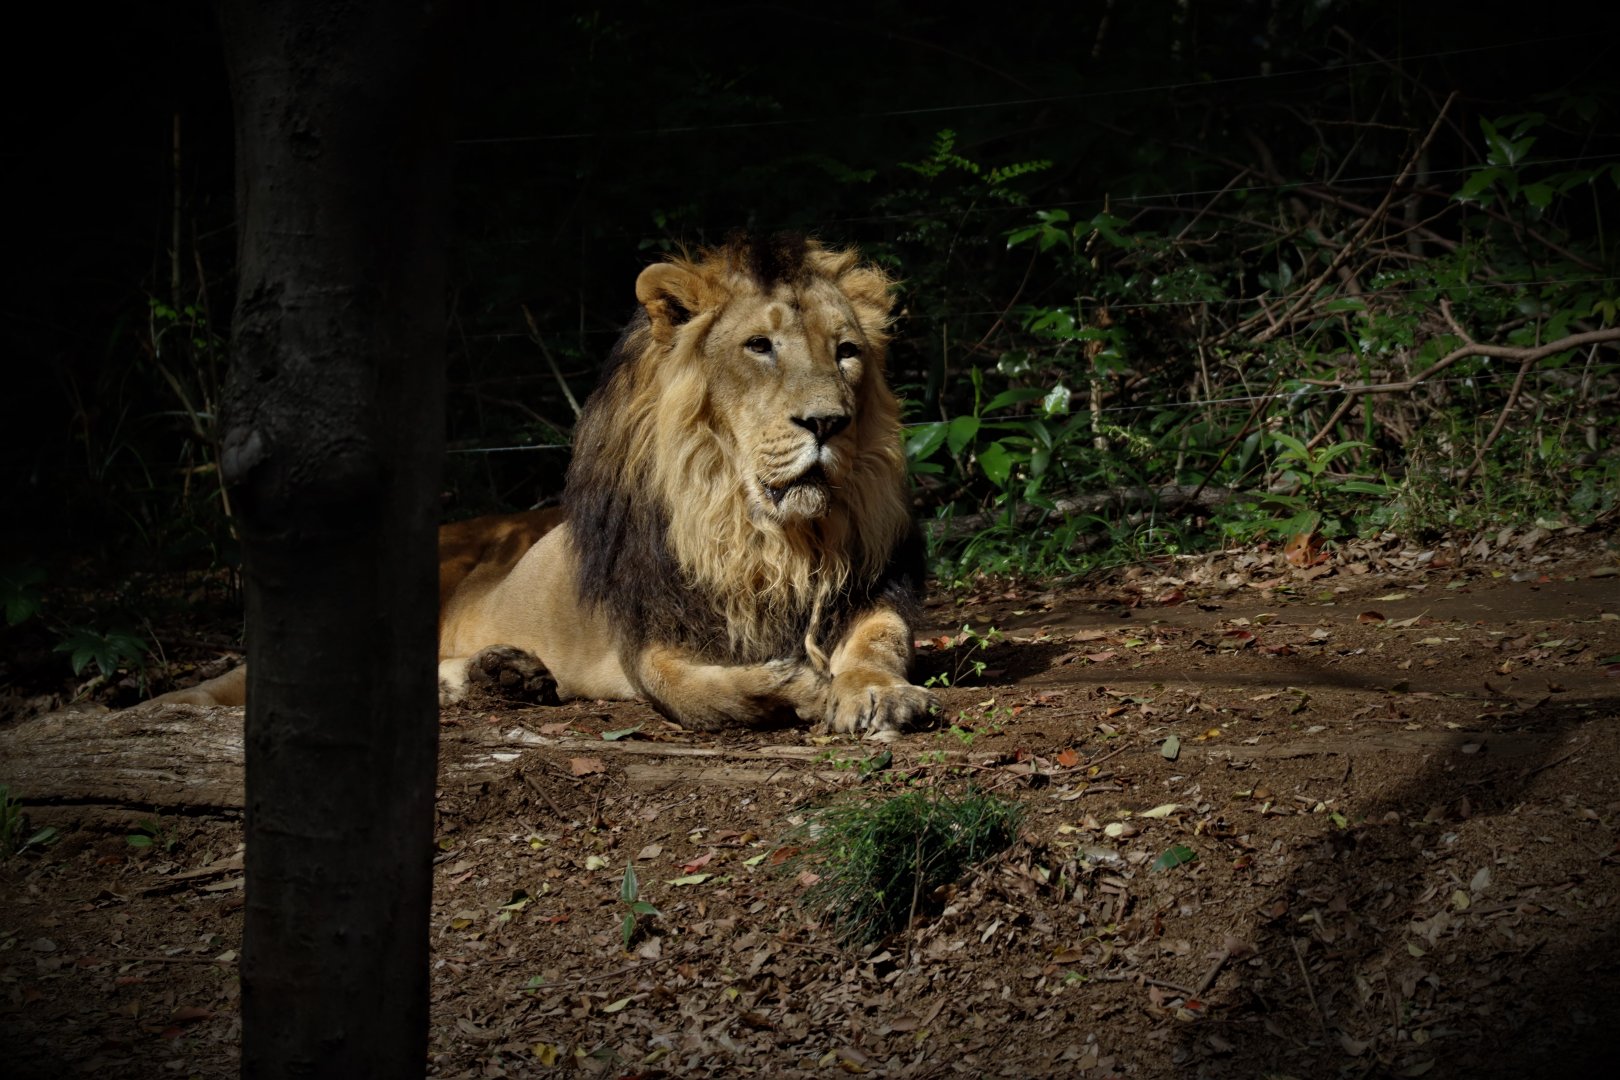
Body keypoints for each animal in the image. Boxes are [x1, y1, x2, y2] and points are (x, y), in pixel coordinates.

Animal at [155, 235, 933, 736]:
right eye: (760, 347)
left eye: (846, 351)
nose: (828, 423)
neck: (764, 537)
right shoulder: (648, 633)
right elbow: (691, 693)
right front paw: (787, 683)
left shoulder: (868, 586)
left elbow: (880, 641)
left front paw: (879, 695)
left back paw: (506, 675)